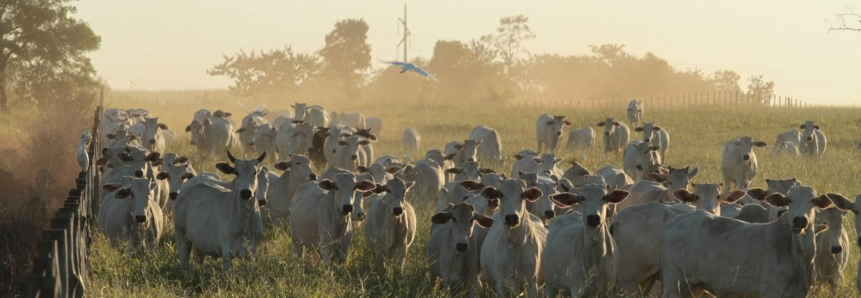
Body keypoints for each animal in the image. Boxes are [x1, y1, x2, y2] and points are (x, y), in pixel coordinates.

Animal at [660, 185, 832, 296]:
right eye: (789, 200)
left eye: (813, 200)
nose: (799, 220)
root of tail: (673, 222)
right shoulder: (770, 292)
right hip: (674, 285)